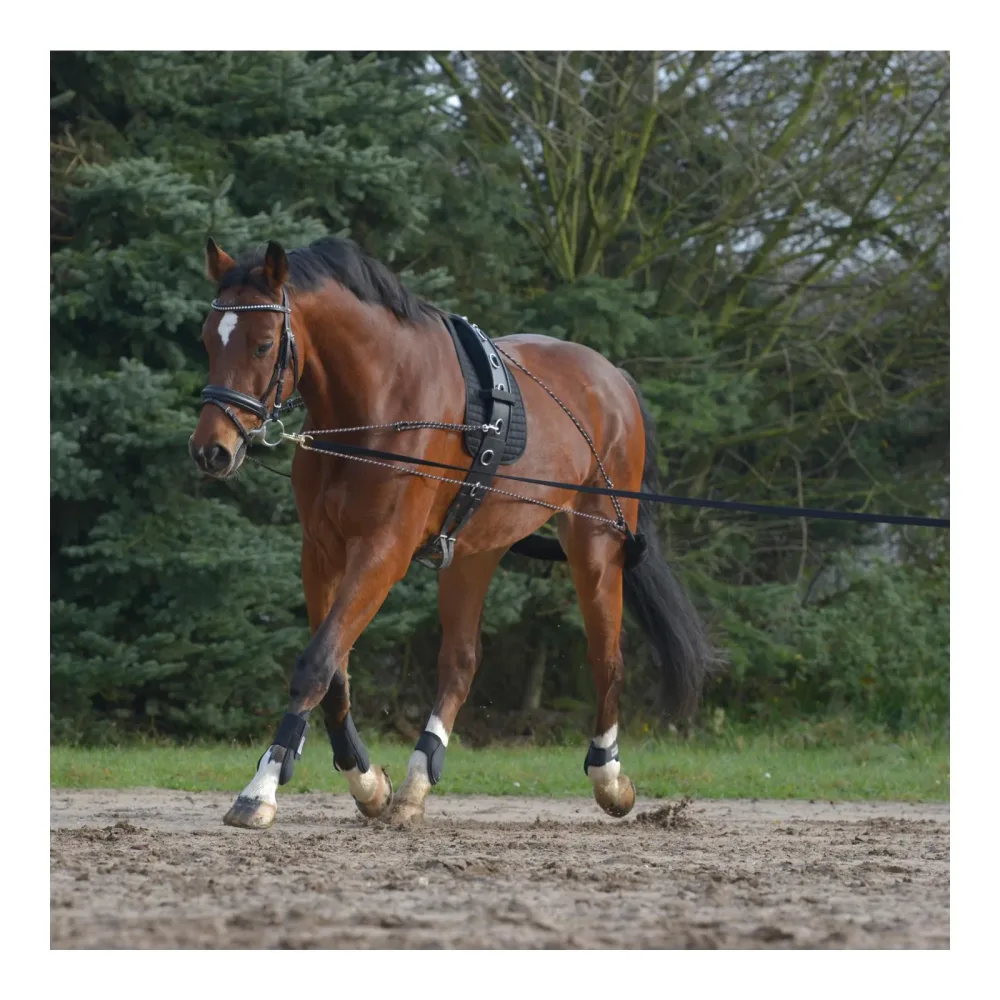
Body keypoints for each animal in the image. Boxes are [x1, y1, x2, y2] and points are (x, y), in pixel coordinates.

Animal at [189, 235, 714, 829]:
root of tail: (613, 379)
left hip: (595, 544)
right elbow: (335, 669)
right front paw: (366, 781)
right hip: (473, 551)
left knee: (606, 658)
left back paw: (608, 776)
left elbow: (316, 664)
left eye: (261, 345)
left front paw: (261, 788)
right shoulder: (321, 551)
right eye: (208, 339)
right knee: (460, 663)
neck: (378, 401)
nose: (211, 450)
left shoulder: (382, 552)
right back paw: (418, 779)